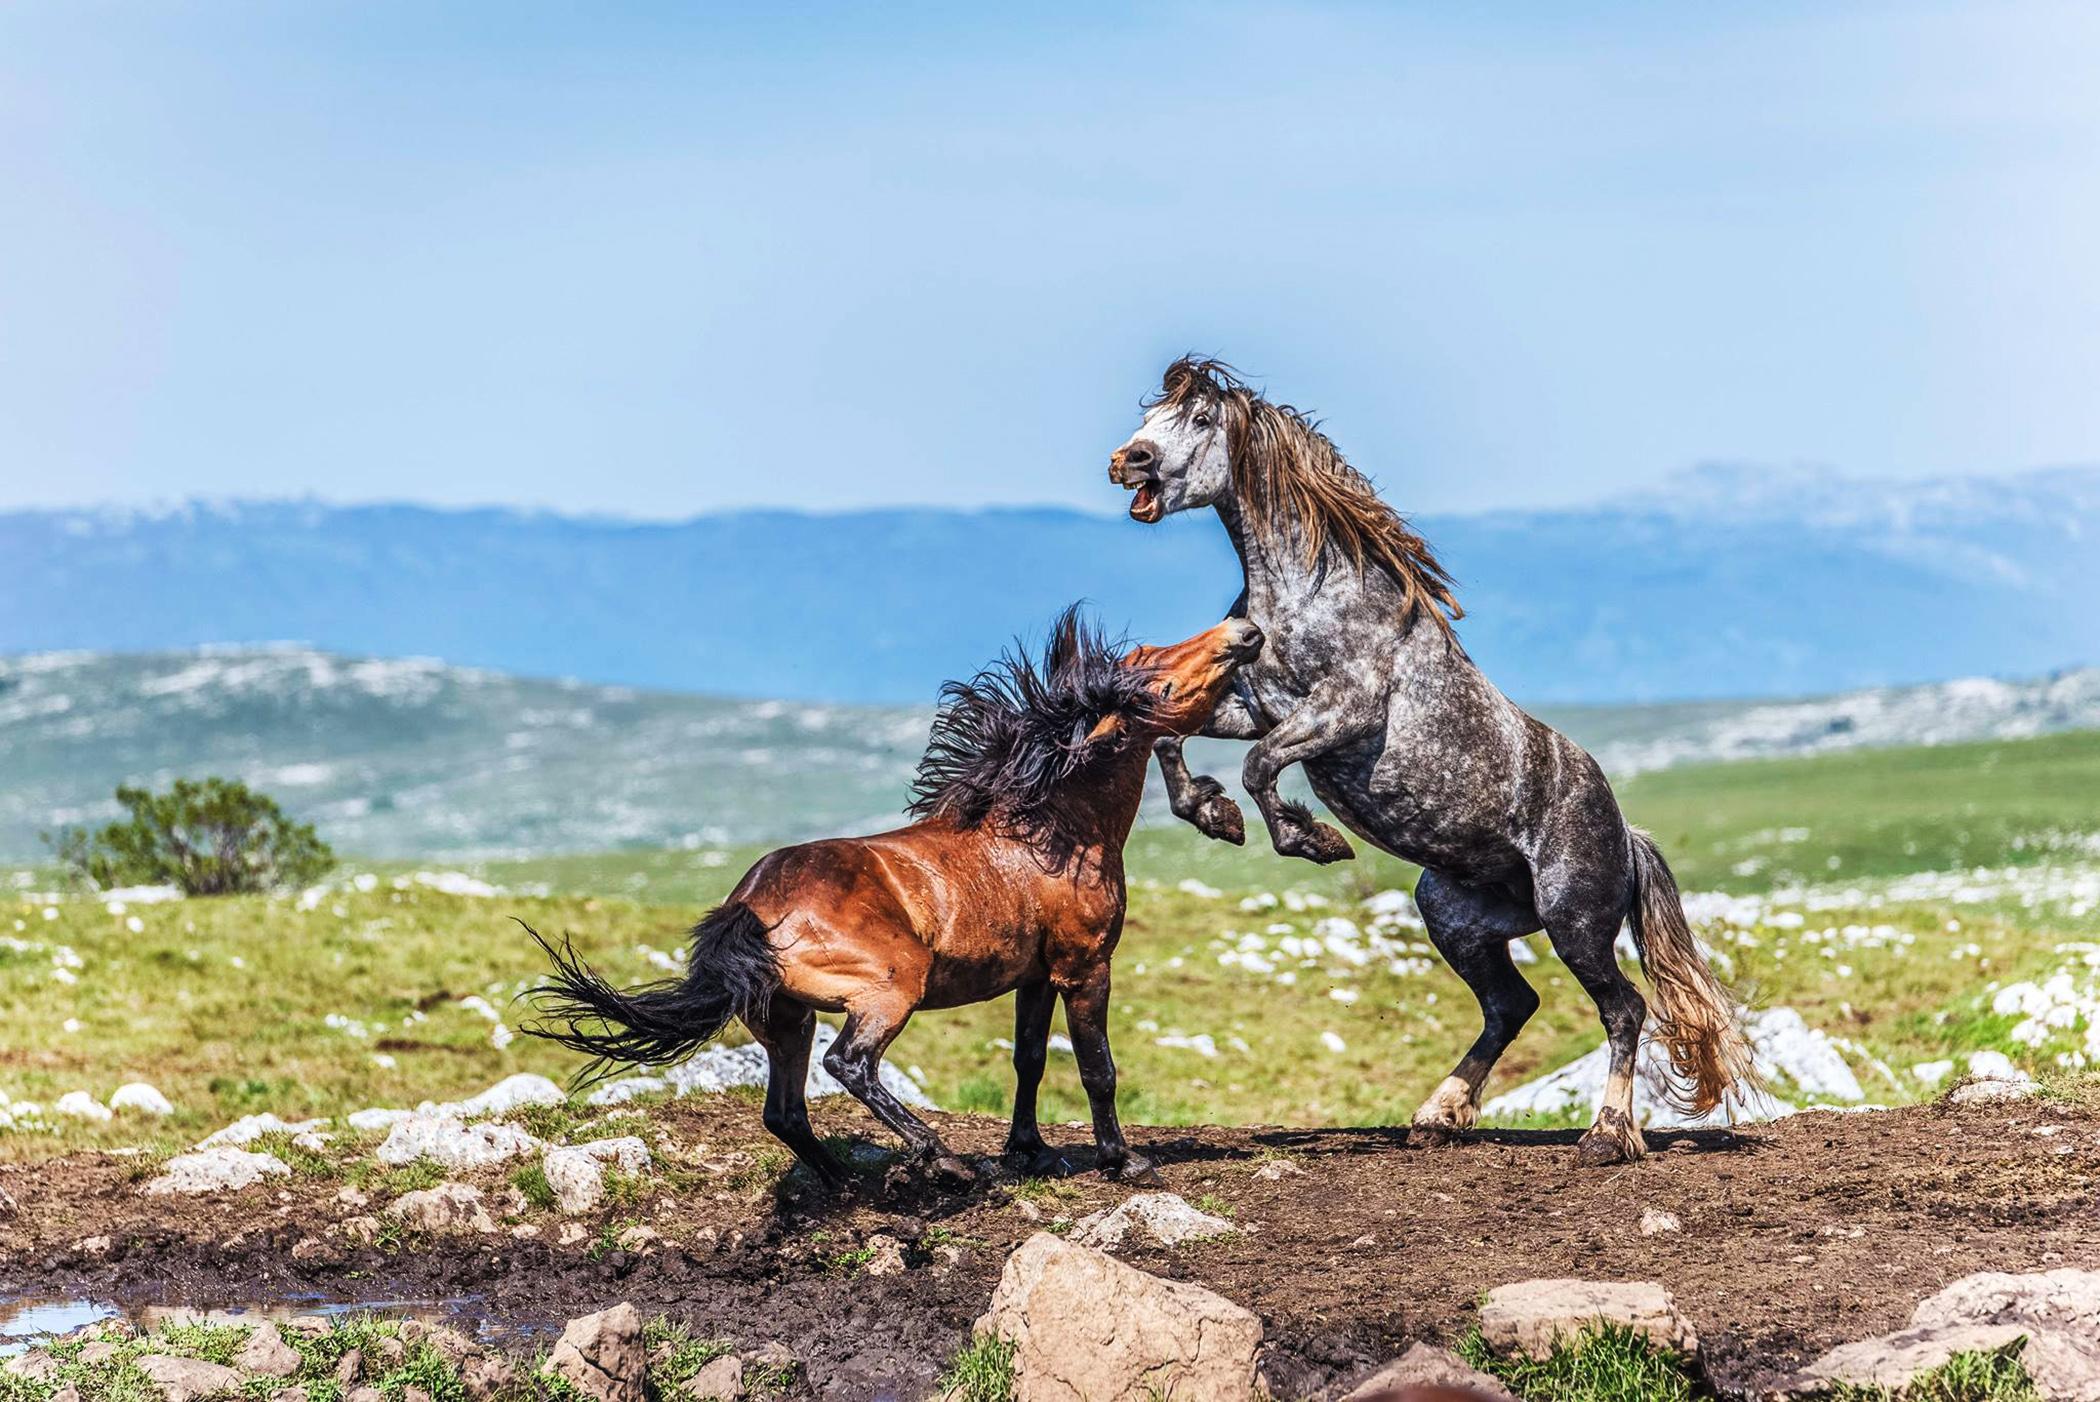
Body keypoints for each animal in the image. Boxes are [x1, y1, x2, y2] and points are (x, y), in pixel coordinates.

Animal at [525, 608, 1260, 1192]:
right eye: (1155, 672)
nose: (1244, 631)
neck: (1053, 830)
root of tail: (752, 905)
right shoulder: (1084, 969)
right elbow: (1096, 1068)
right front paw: (1123, 1161)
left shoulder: (1034, 976)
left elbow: (1028, 1061)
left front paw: (1029, 1153)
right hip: (889, 988)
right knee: (848, 1065)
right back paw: (939, 1159)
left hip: (785, 1019)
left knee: (785, 1111)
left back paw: (846, 1182)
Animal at [1108, 358, 1763, 1158]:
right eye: (1153, 414)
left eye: (1201, 420)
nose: (1128, 460)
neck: (1310, 594)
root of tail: (1625, 834)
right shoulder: (1253, 705)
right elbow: (1171, 736)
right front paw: (1214, 814)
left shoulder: (1341, 712)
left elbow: (1261, 766)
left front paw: (1310, 838)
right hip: (1456, 917)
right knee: (1512, 1004)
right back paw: (1438, 1113)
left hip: (1573, 922)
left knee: (1623, 1008)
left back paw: (1607, 1135)